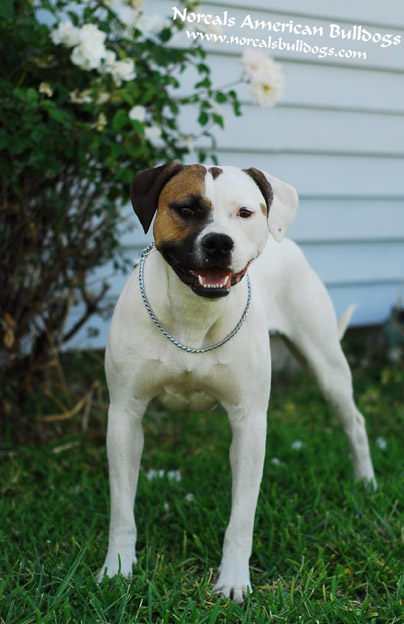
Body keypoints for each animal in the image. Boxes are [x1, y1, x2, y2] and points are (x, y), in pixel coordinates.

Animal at [98, 163, 376, 604]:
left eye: (244, 212)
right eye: (187, 209)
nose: (218, 242)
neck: (194, 315)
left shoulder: (249, 421)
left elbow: (242, 517)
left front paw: (232, 580)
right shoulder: (125, 415)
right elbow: (122, 509)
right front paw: (118, 570)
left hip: (326, 364)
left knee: (354, 422)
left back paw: (365, 483)